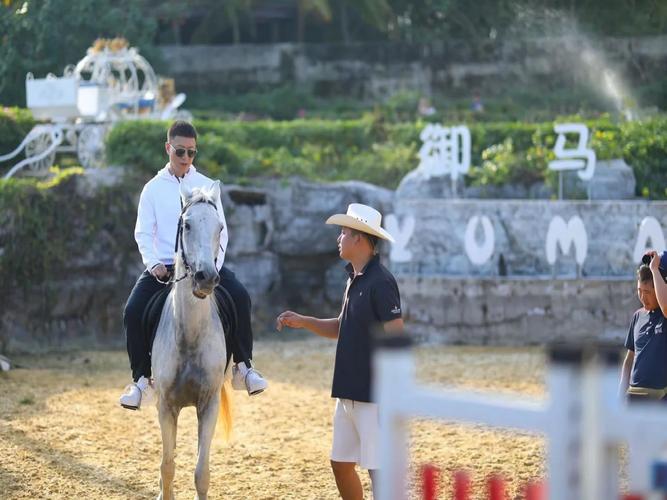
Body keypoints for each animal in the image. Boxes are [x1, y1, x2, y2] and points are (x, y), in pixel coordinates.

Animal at [152, 181, 234, 500]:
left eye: (219, 227)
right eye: (186, 225)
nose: (205, 278)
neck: (189, 337)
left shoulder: (208, 404)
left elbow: (201, 473)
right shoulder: (165, 407)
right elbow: (167, 467)